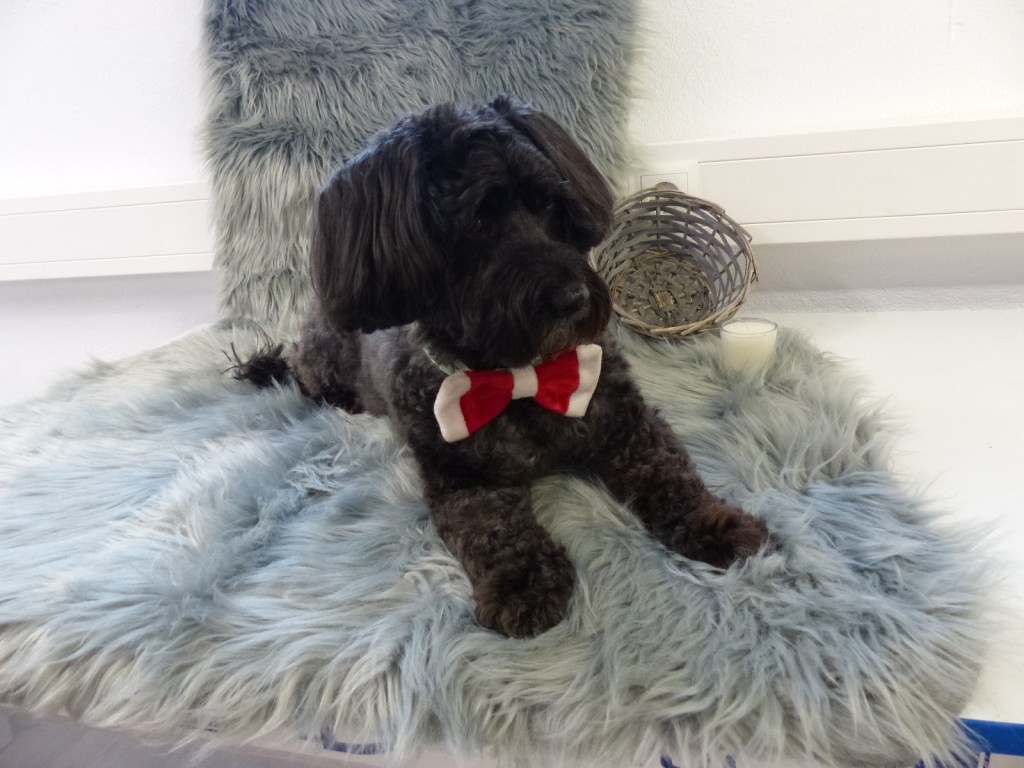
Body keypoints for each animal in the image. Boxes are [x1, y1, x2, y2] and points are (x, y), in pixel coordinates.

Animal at [236, 97, 770, 638]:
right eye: (476, 224)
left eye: (551, 207)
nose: (572, 298)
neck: (519, 376)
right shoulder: (462, 476)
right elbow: (492, 528)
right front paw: (523, 583)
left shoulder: (628, 423)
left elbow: (669, 473)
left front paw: (715, 525)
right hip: (324, 354)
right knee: (307, 381)